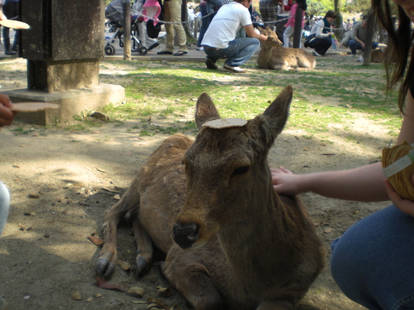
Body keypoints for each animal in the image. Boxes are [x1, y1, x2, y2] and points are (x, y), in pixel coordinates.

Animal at [95, 86, 326, 308]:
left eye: (241, 167)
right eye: (186, 162)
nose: (183, 232)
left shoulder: (292, 291)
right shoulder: (181, 258)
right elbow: (210, 300)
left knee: (134, 216)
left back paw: (143, 257)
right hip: (138, 179)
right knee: (112, 212)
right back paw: (106, 260)